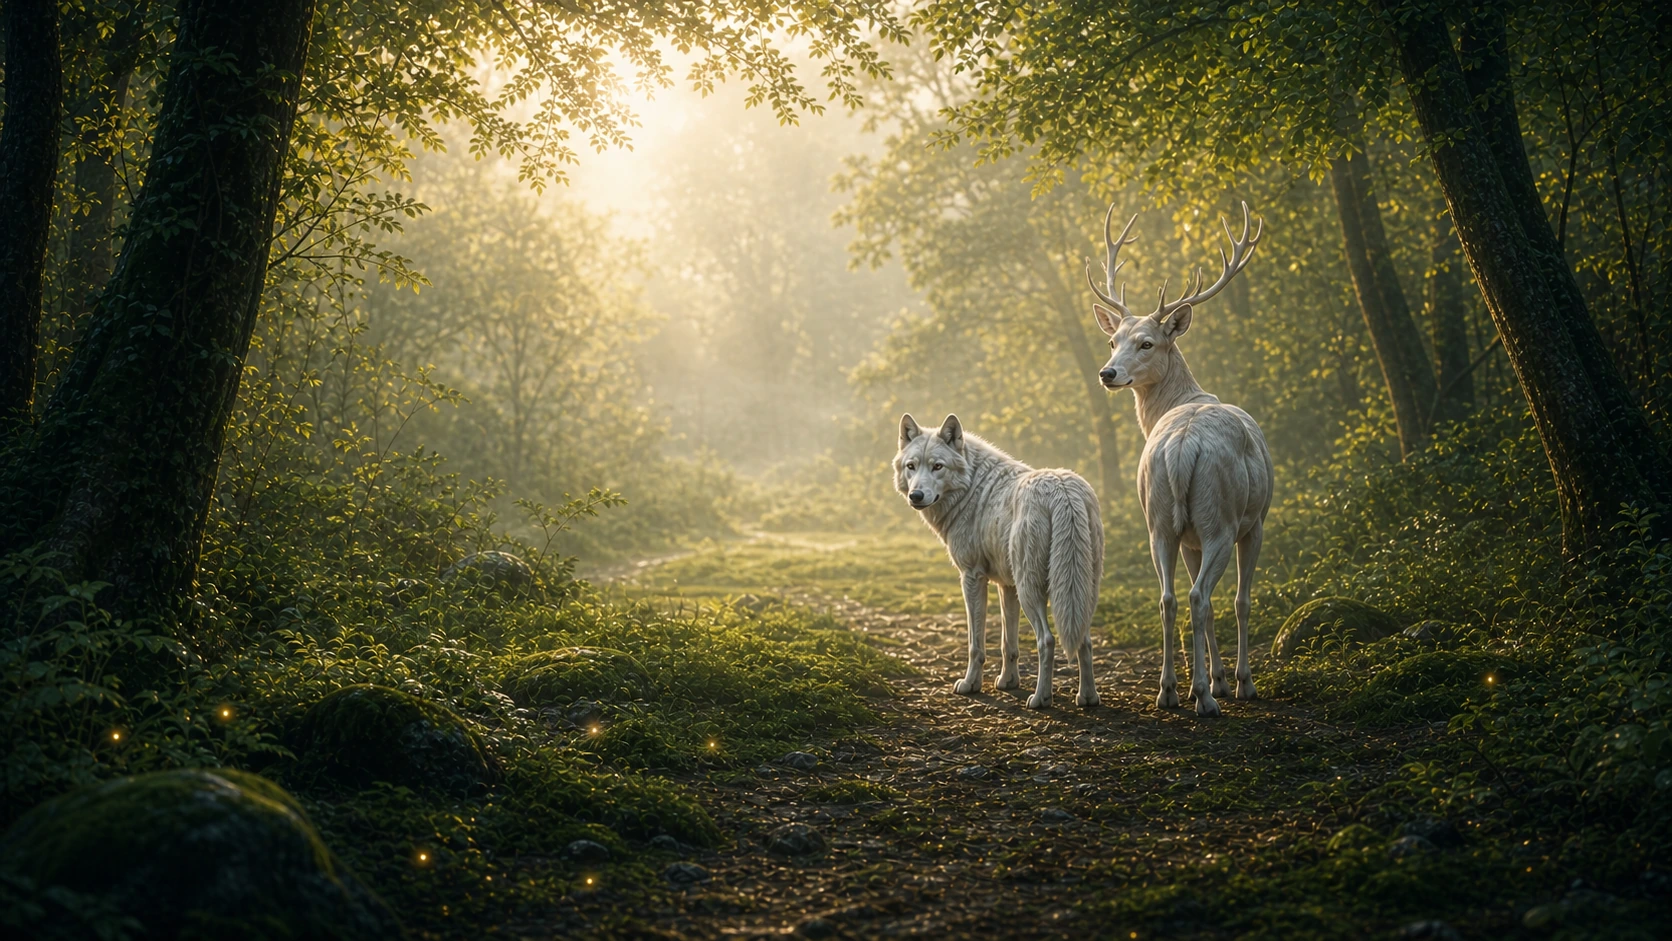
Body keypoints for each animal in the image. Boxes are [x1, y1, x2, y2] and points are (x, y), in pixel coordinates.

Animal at [1085, 203, 1273, 717]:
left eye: (1146, 343)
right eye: (1113, 341)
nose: (1107, 373)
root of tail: (1182, 447)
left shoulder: (1187, 535)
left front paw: (1212, 679)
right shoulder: (1255, 522)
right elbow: (1242, 601)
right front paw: (1236, 683)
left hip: (1159, 517)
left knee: (1169, 597)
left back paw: (1169, 690)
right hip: (1220, 516)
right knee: (1200, 596)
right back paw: (1206, 699)